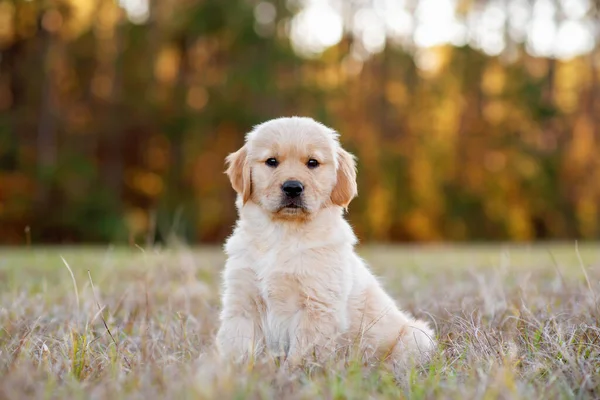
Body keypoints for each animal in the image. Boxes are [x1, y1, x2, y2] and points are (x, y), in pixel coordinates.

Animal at [216, 116, 436, 368]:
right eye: (271, 161)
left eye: (312, 163)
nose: (293, 187)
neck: (282, 234)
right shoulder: (242, 302)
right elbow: (238, 347)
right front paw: (232, 373)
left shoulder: (316, 306)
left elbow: (301, 356)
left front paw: (292, 376)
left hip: (417, 336)